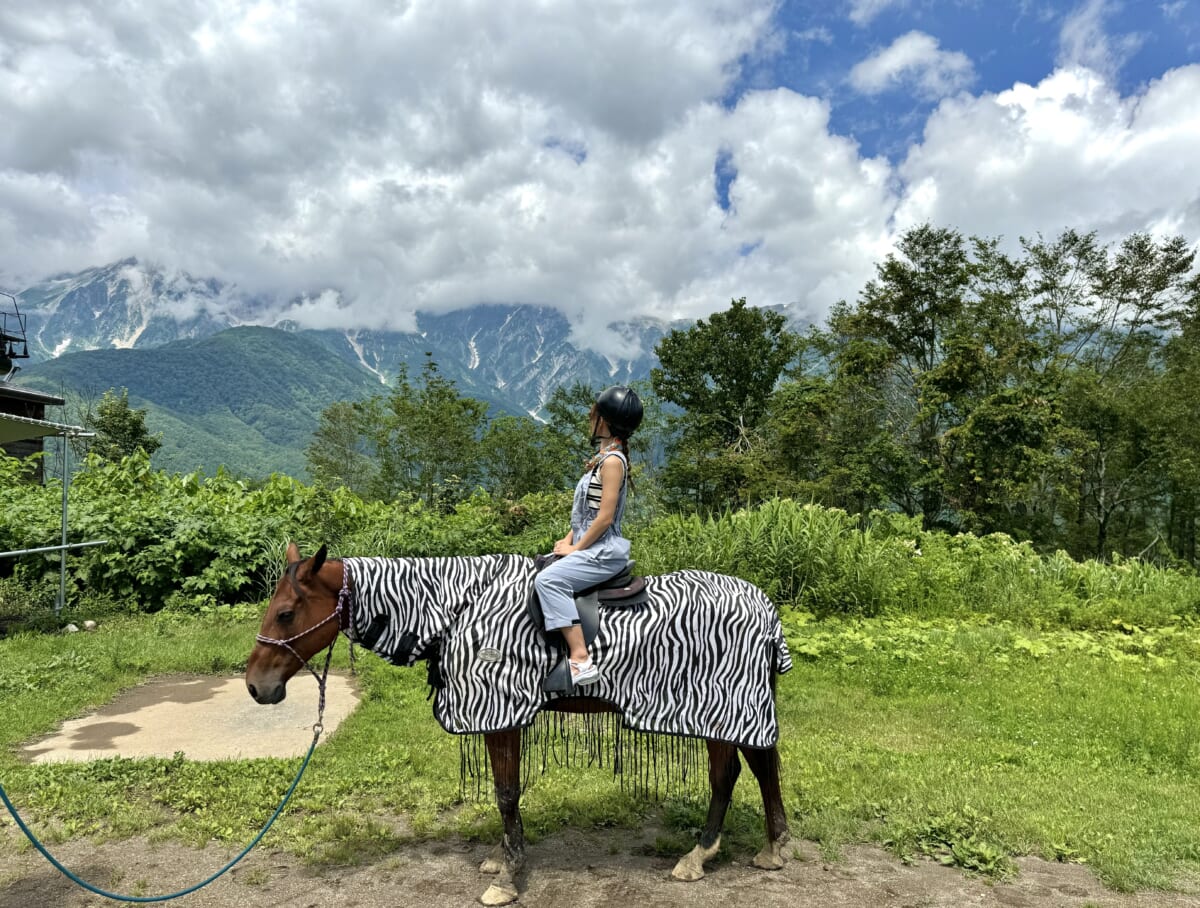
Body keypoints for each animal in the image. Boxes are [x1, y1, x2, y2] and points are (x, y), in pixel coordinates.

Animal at [246, 542, 787, 902]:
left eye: (287, 613)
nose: (256, 686)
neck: (460, 609)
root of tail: (765, 607)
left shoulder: (501, 715)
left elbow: (506, 793)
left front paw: (508, 875)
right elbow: (503, 793)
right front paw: (502, 855)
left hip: (730, 707)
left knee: (738, 772)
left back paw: (717, 853)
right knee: (747, 770)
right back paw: (750, 848)